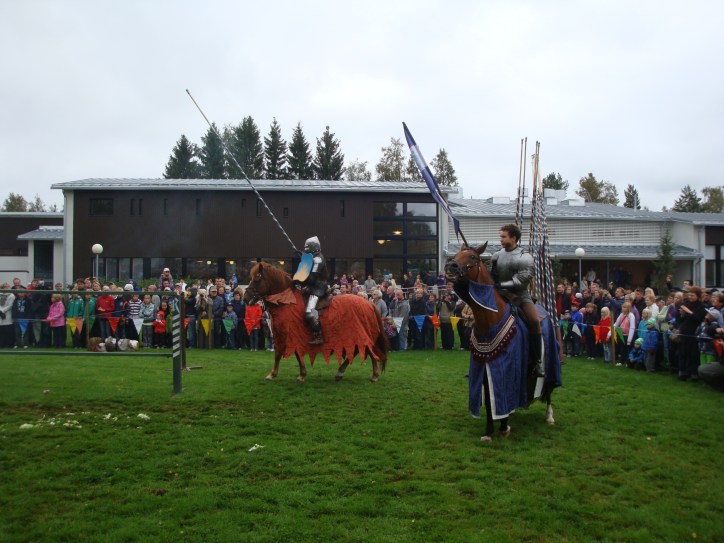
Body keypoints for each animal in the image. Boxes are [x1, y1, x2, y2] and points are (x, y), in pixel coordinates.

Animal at [244, 262, 388, 382]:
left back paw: (365, 374)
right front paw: (277, 374)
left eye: (256, 279)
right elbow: (280, 354)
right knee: (365, 349)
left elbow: (291, 353)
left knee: (367, 349)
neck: (287, 301)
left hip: (358, 333)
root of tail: (369, 304)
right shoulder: (282, 335)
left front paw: (296, 374)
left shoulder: (290, 335)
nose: (245, 298)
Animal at [445, 243, 562, 442]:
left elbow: (504, 393)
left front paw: (504, 426)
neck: (490, 319)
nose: (451, 267)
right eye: (458, 254)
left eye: (472, 257)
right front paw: (489, 430)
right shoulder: (484, 367)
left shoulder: (506, 367)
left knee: (549, 389)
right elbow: (490, 402)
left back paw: (549, 416)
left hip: (551, 363)